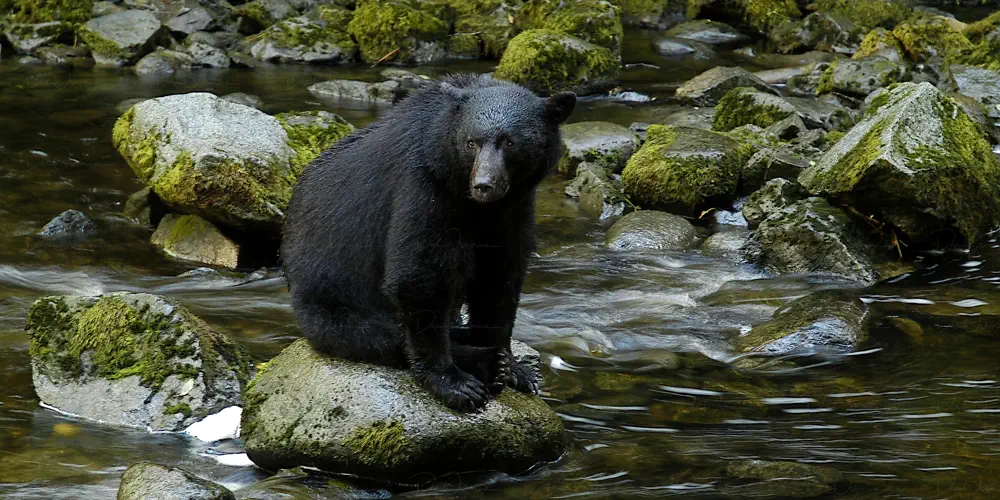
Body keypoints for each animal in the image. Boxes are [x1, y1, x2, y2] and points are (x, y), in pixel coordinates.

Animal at [280, 73, 575, 412]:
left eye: (510, 142)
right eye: (472, 141)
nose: (484, 185)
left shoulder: (513, 209)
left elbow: (500, 277)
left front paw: (514, 367)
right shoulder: (424, 188)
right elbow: (419, 274)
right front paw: (455, 382)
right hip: (331, 301)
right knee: (377, 335)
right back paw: (483, 362)